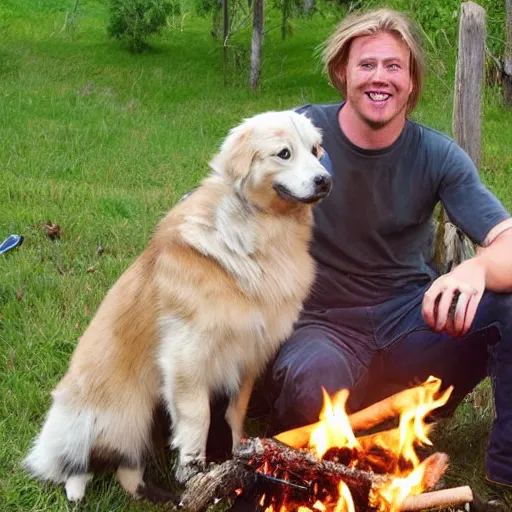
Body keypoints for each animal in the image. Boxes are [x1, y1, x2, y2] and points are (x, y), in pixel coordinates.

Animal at [25, 111, 332, 500]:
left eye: (315, 150)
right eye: (284, 153)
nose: (325, 181)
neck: (261, 233)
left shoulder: (250, 355)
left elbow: (234, 413)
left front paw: (238, 460)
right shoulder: (187, 357)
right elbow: (198, 418)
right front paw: (193, 470)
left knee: (127, 471)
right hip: (122, 414)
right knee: (78, 462)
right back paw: (77, 488)